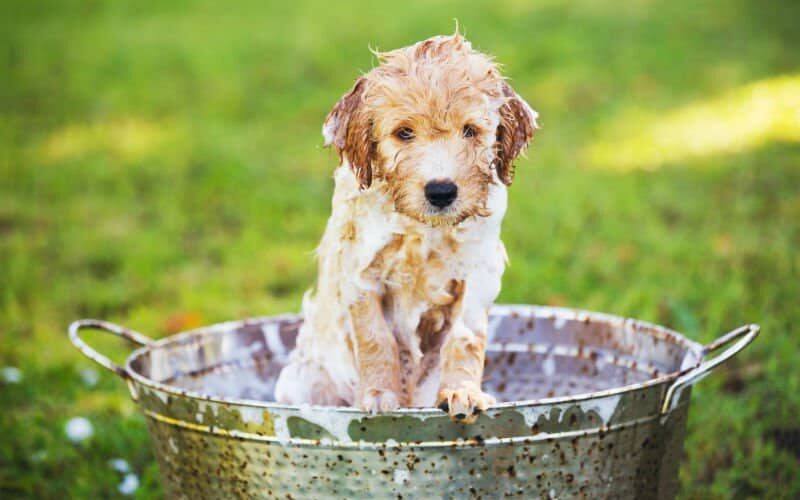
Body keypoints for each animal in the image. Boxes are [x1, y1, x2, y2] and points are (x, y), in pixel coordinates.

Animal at [276, 32, 536, 422]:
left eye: (470, 131)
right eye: (404, 133)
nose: (441, 191)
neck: (422, 229)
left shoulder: (479, 273)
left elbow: (464, 338)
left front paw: (462, 391)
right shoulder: (360, 273)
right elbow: (375, 338)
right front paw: (380, 395)